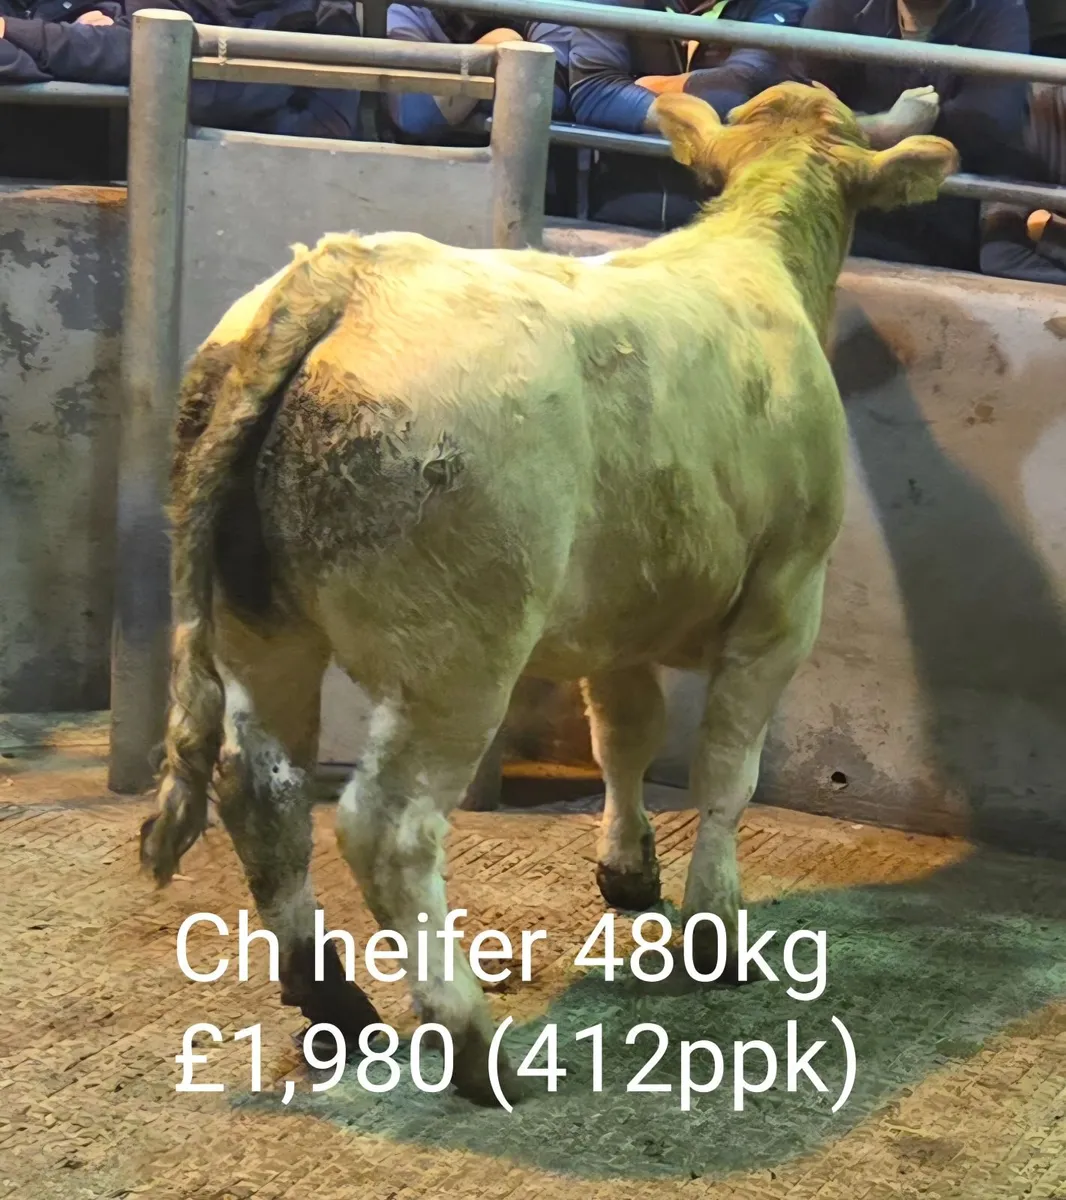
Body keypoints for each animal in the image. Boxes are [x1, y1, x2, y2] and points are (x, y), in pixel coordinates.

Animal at [140, 83, 958, 1106]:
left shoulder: (622, 614)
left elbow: (625, 738)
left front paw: (629, 872)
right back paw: (473, 1040)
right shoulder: (785, 598)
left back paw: (335, 1003)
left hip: (262, 629)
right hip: (457, 652)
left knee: (265, 793)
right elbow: (727, 770)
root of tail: (343, 273)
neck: (754, 255)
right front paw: (716, 930)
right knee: (387, 828)